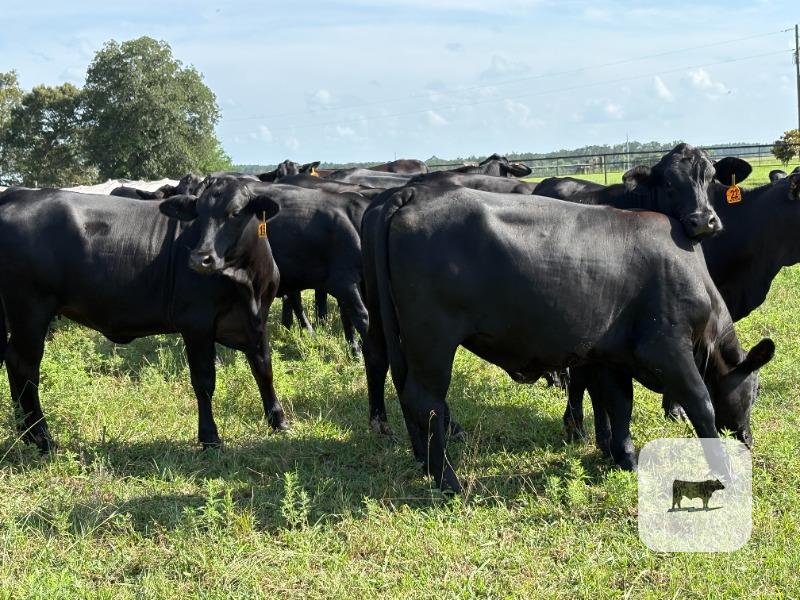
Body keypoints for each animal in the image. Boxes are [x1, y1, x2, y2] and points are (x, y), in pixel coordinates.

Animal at [0, 182, 288, 451]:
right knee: (23, 365)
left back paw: (25, 433)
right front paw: (210, 437)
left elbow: (264, 368)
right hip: (30, 310)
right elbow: (204, 381)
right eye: (198, 213)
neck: (247, 283)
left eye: (235, 212)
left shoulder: (256, 322)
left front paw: (279, 420)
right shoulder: (196, 323)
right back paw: (41, 438)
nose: (199, 258)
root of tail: (18, 193)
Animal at [365, 184, 773, 492]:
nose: (748, 439)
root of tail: (413, 194)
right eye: (754, 391)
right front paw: (724, 471)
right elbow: (701, 404)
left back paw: (425, 463)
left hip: (403, 338)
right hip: (433, 340)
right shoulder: (668, 349)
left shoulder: (611, 356)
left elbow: (619, 404)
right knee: (427, 402)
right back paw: (447, 480)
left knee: (403, 389)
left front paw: (625, 457)